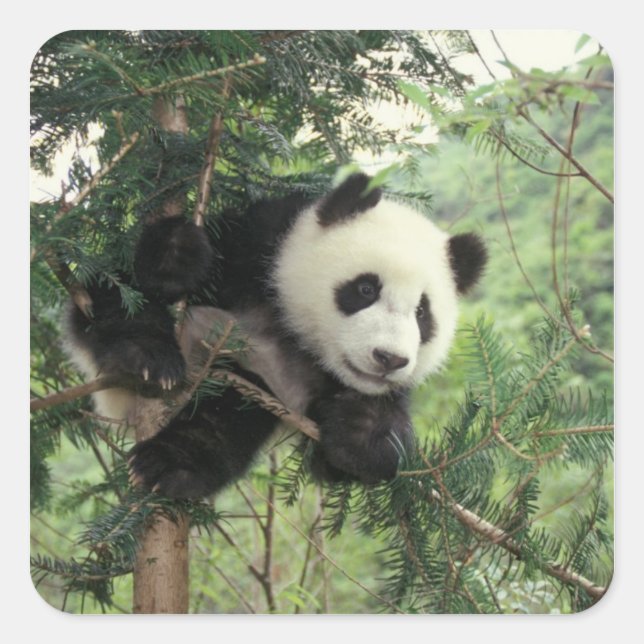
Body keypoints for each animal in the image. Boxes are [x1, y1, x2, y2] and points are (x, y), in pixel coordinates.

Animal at [65, 173, 486, 498]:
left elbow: (350, 457)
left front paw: (361, 430)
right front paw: (177, 257)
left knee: (229, 413)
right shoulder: (258, 246)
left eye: (422, 314)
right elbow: (138, 279)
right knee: (113, 297)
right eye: (366, 289)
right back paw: (147, 365)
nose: (389, 359)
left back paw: (171, 465)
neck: (292, 331)